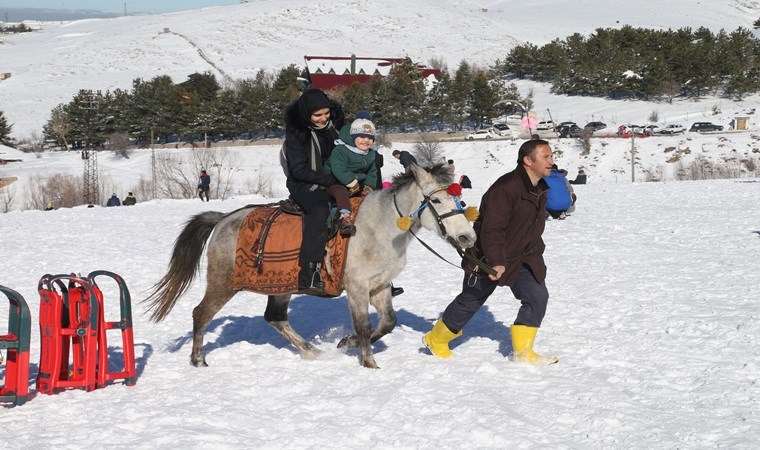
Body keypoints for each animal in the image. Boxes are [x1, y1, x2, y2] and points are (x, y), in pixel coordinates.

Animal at [144, 163, 476, 368]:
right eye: (438, 202)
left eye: (460, 201)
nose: (467, 237)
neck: (379, 228)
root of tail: (224, 219)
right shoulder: (357, 288)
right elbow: (364, 326)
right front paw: (369, 363)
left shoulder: (379, 286)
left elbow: (387, 323)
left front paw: (346, 343)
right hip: (223, 282)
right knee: (201, 314)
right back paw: (198, 359)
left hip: (281, 285)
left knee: (275, 317)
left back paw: (310, 350)